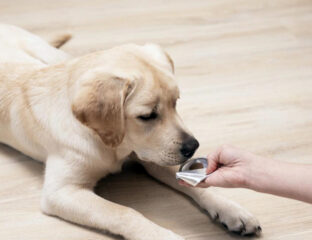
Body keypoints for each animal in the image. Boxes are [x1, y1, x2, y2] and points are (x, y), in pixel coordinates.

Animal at [0, 24, 260, 240]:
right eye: (147, 116)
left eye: (176, 102)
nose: (192, 147)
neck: (111, 144)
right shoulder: (61, 192)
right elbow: (124, 213)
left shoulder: (152, 156)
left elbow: (196, 183)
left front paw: (231, 209)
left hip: (50, 54)